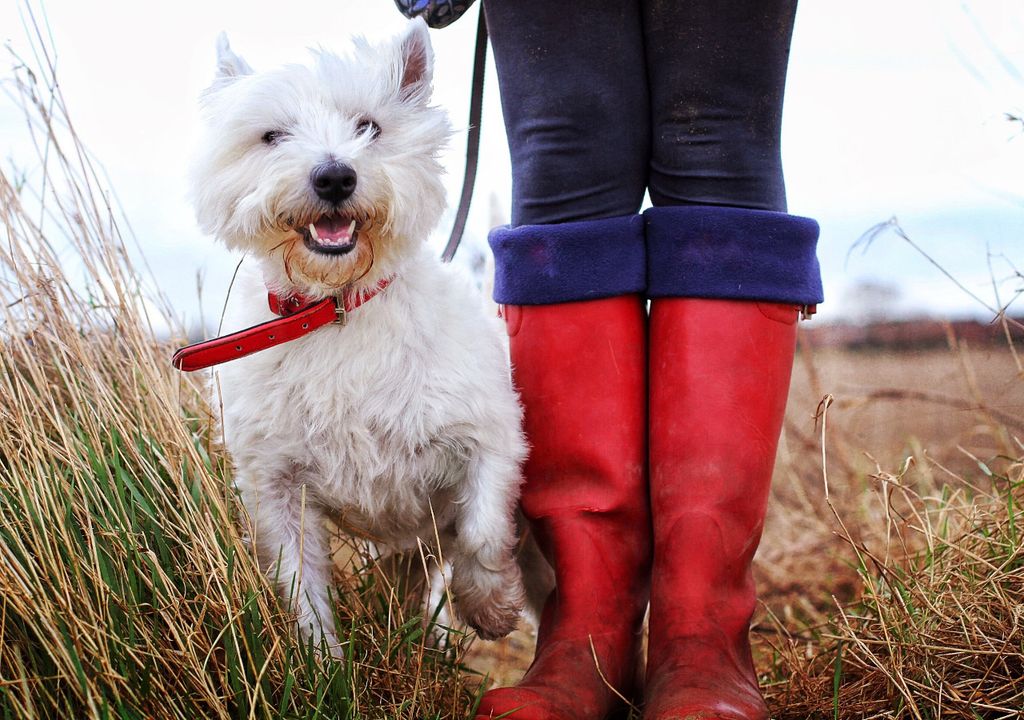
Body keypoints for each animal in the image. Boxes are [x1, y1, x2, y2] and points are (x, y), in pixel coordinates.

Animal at [189, 19, 532, 651]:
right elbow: (299, 585)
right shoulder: (276, 485)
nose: (334, 176)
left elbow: (482, 529)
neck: (337, 308)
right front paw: (321, 660)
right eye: (272, 136)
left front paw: (491, 606)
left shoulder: (489, 435)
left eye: (369, 127)